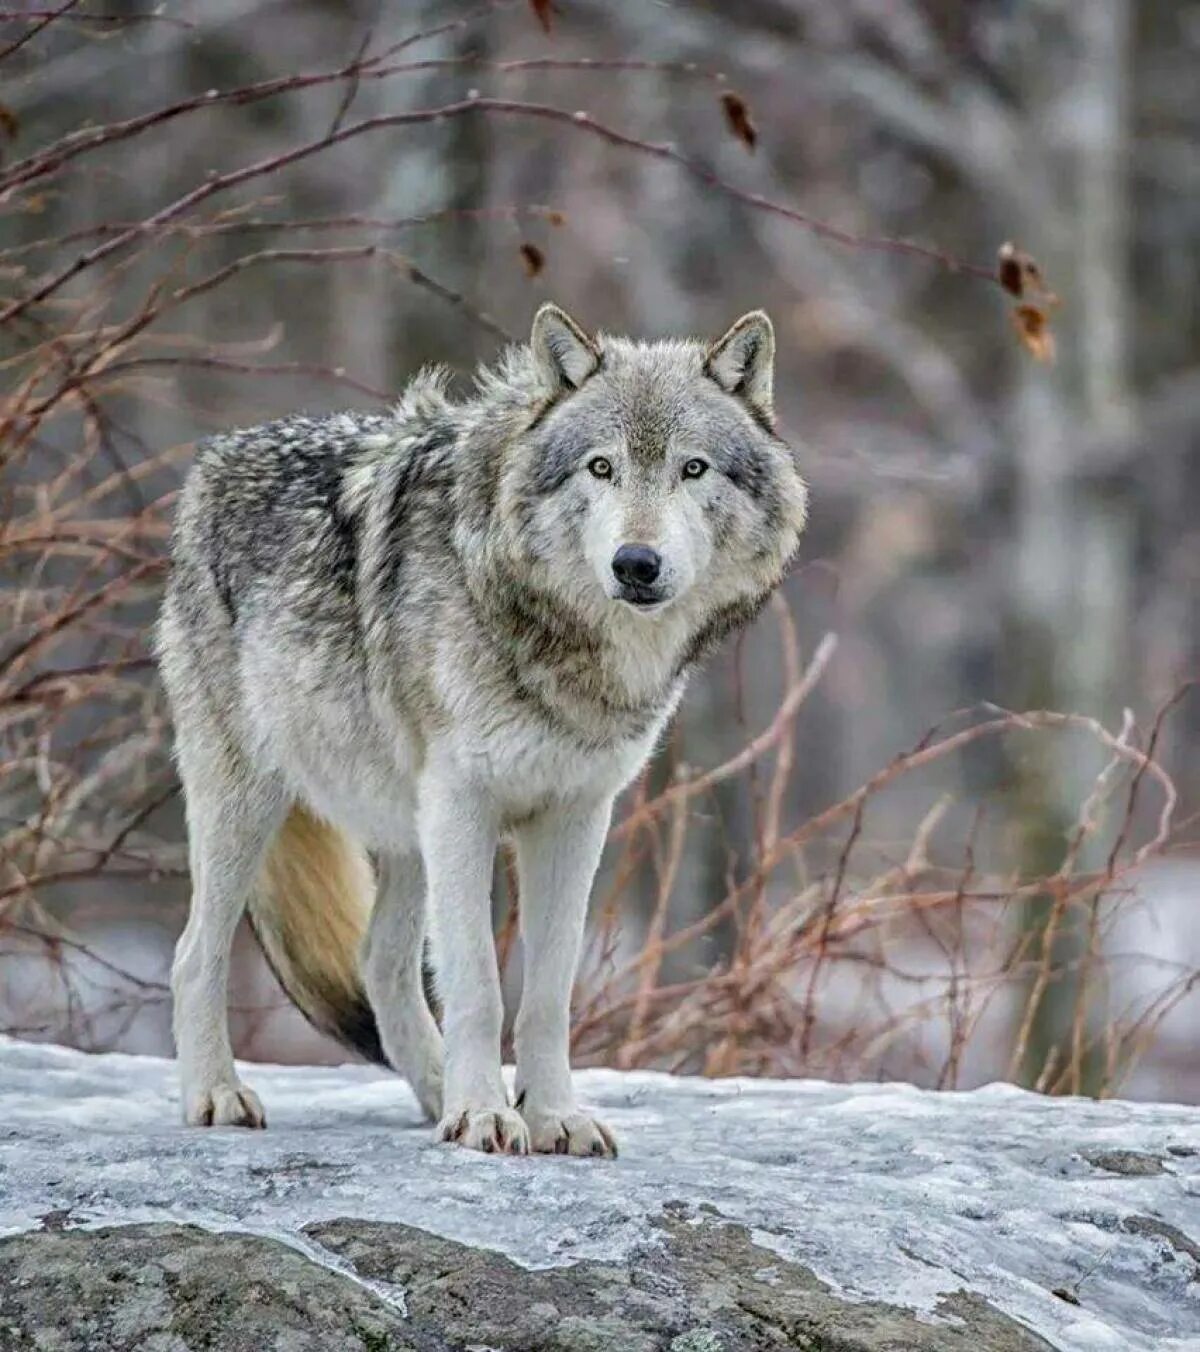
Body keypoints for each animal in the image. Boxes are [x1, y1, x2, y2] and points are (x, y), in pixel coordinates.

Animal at [156, 304, 805, 1151]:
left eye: (693, 469)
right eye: (601, 468)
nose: (636, 563)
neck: (562, 647)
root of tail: (217, 456)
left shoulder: (575, 815)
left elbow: (546, 994)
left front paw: (550, 1115)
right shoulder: (465, 806)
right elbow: (478, 987)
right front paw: (484, 1114)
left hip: (405, 832)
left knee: (380, 963)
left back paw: (434, 1092)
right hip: (252, 805)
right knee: (193, 954)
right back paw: (218, 1095)